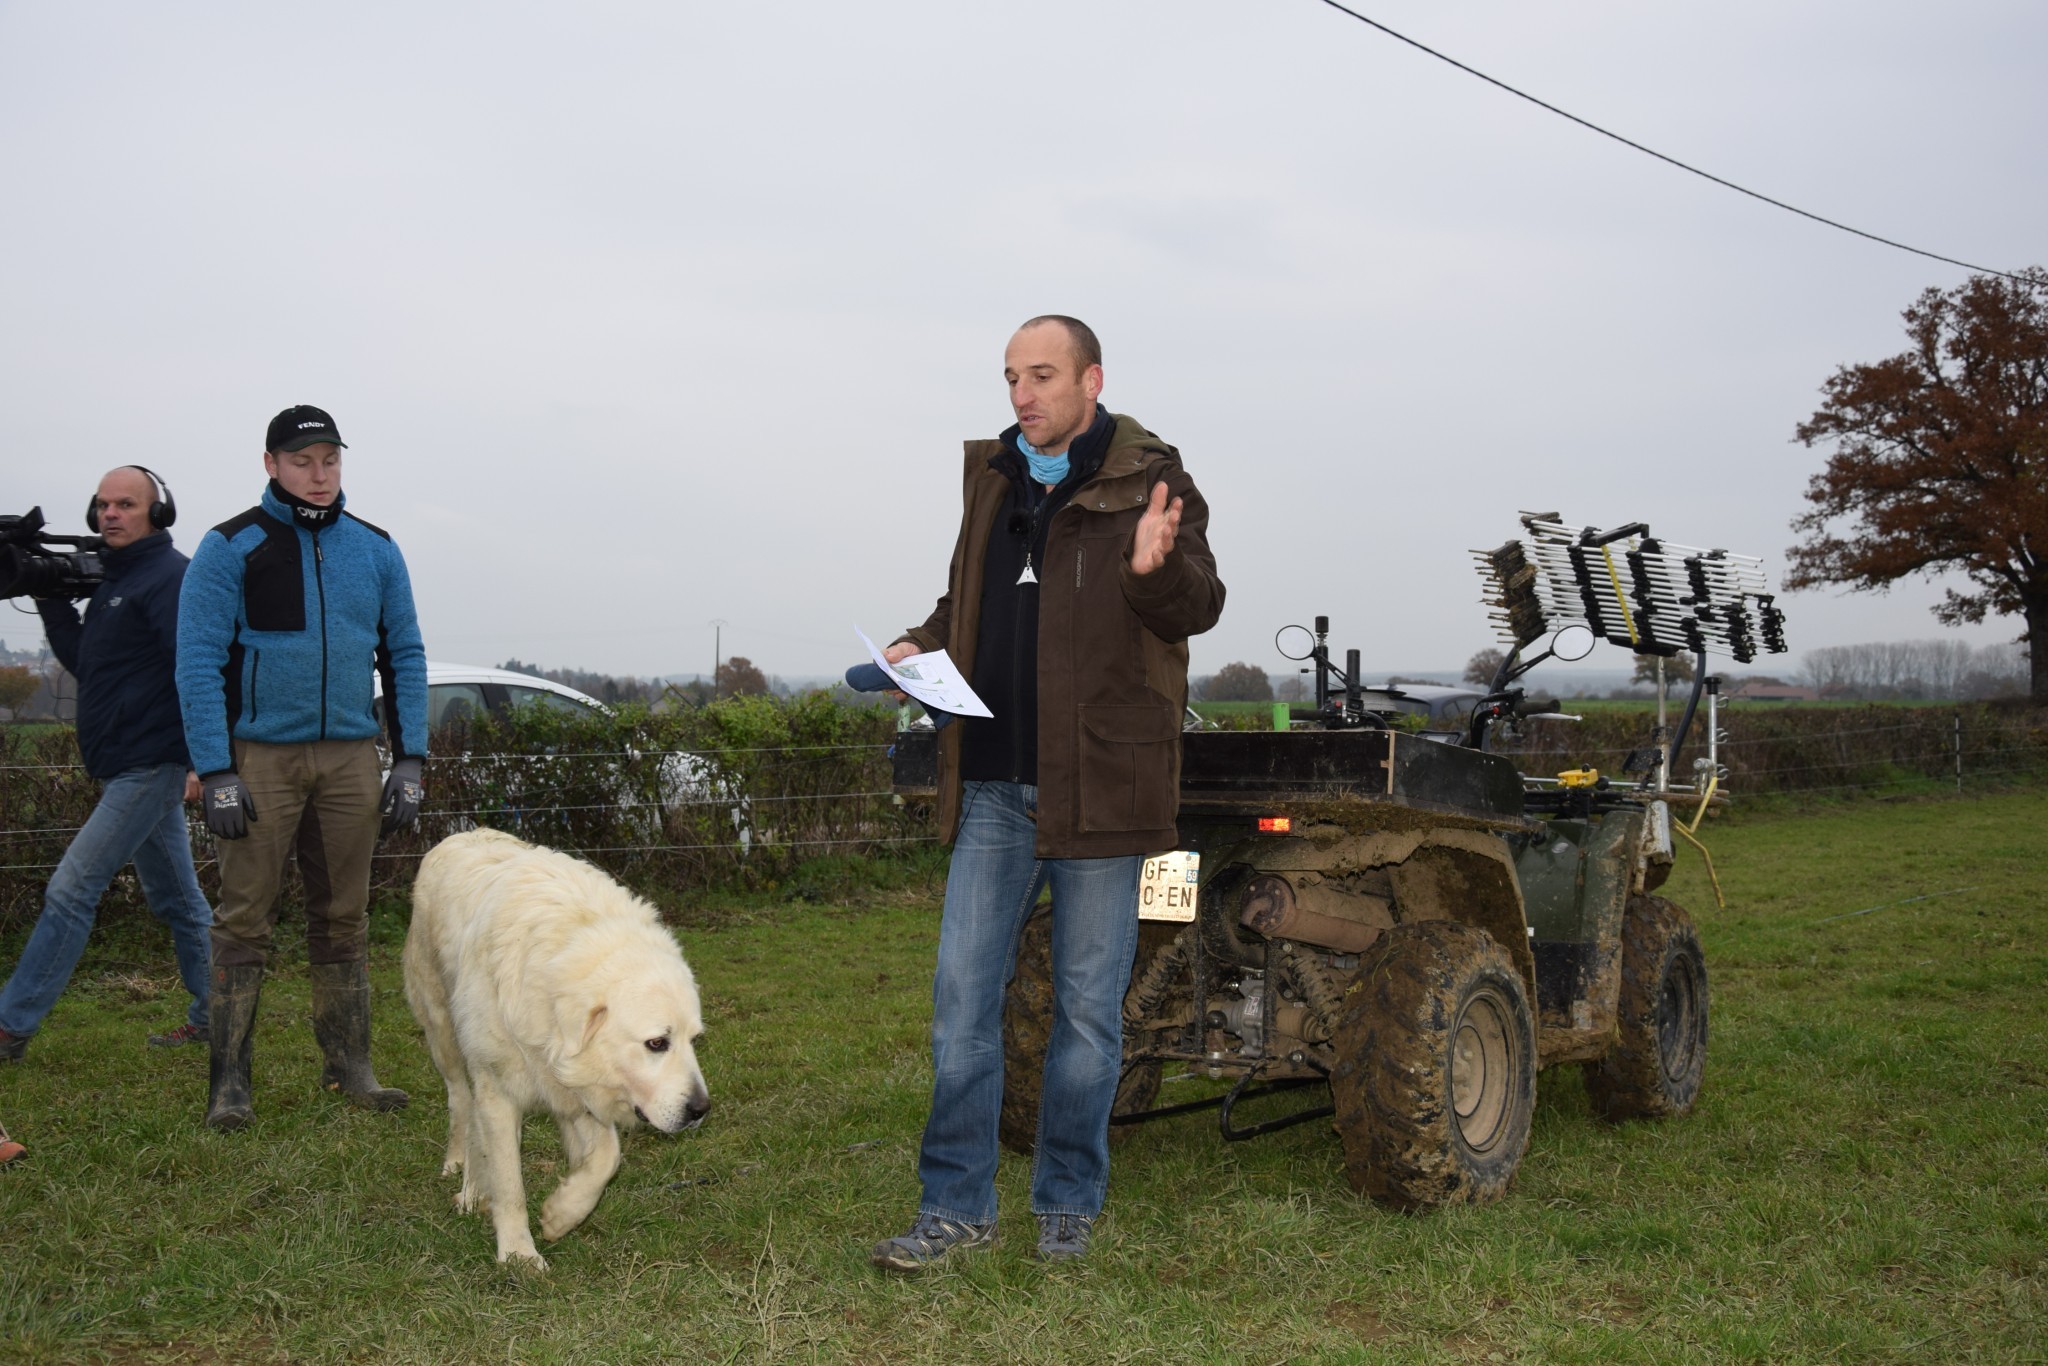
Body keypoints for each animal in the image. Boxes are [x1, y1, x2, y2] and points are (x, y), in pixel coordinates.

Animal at [405, 827, 712, 1269]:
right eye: (657, 1043)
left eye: (694, 1040)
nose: (701, 1110)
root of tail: (463, 833)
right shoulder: (500, 1090)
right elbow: (510, 1183)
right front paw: (518, 1253)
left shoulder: (576, 1087)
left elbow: (608, 1157)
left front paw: (562, 1213)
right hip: (443, 1032)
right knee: (461, 1101)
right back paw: (461, 1169)